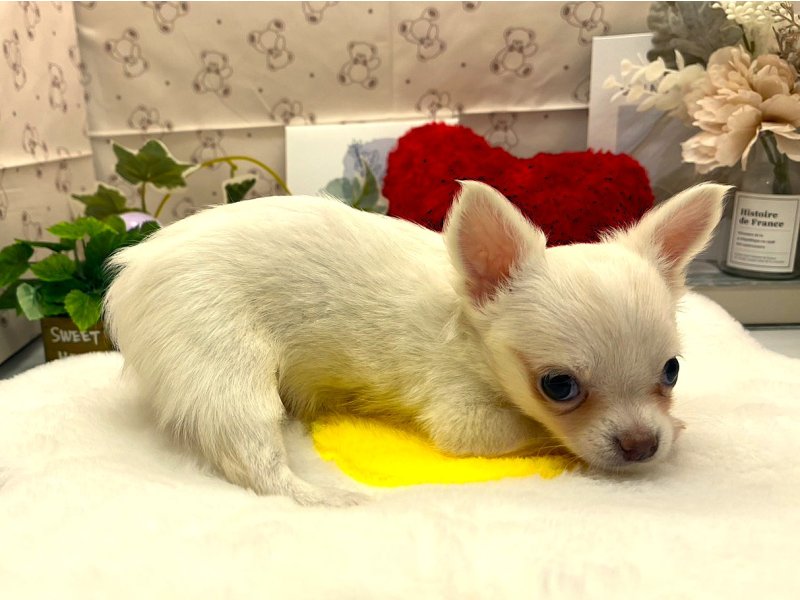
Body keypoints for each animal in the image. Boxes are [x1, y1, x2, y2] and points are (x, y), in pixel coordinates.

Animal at [105, 181, 728, 506]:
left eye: (671, 371)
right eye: (558, 386)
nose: (642, 445)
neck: (468, 324)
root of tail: (131, 269)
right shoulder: (463, 417)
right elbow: (528, 432)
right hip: (220, 361)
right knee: (251, 460)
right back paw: (323, 496)